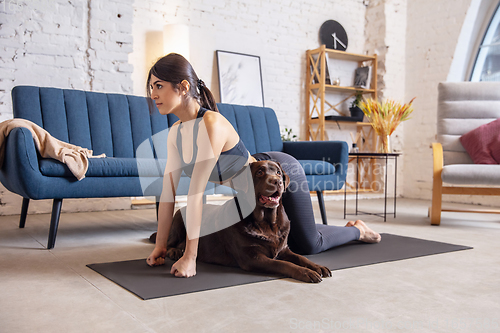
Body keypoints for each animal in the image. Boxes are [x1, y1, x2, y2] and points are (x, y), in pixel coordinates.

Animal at [156, 160, 332, 282]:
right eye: (260, 172)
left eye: (278, 172)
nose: (278, 181)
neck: (268, 223)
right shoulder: (252, 257)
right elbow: (283, 264)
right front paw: (306, 273)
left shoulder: (284, 249)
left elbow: (302, 258)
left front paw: (317, 267)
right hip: (178, 221)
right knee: (168, 243)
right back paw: (175, 251)